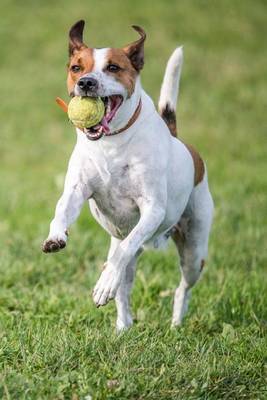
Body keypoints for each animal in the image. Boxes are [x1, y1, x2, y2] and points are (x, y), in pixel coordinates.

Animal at [44, 19, 216, 332]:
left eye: (113, 67)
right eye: (76, 67)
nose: (86, 82)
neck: (111, 142)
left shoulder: (153, 209)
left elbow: (124, 251)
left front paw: (103, 286)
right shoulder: (77, 189)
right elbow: (62, 210)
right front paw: (56, 236)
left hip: (194, 250)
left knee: (178, 285)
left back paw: (175, 321)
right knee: (123, 281)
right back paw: (123, 325)